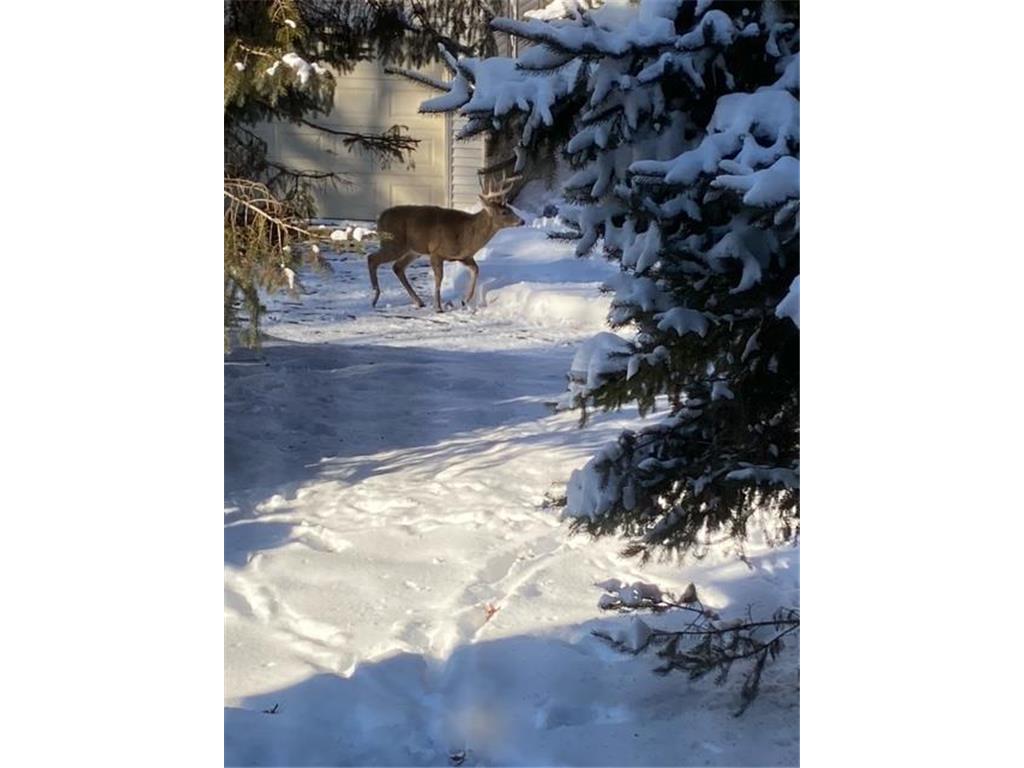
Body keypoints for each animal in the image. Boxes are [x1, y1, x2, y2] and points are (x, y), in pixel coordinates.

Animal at [367, 174, 523, 312]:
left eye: (510, 209)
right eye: (504, 212)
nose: (522, 221)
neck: (467, 234)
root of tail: (380, 218)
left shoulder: (464, 257)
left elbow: (476, 270)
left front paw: (465, 300)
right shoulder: (436, 251)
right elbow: (439, 279)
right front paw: (438, 307)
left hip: (412, 250)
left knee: (397, 267)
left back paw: (418, 301)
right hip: (394, 243)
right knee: (372, 258)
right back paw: (374, 298)